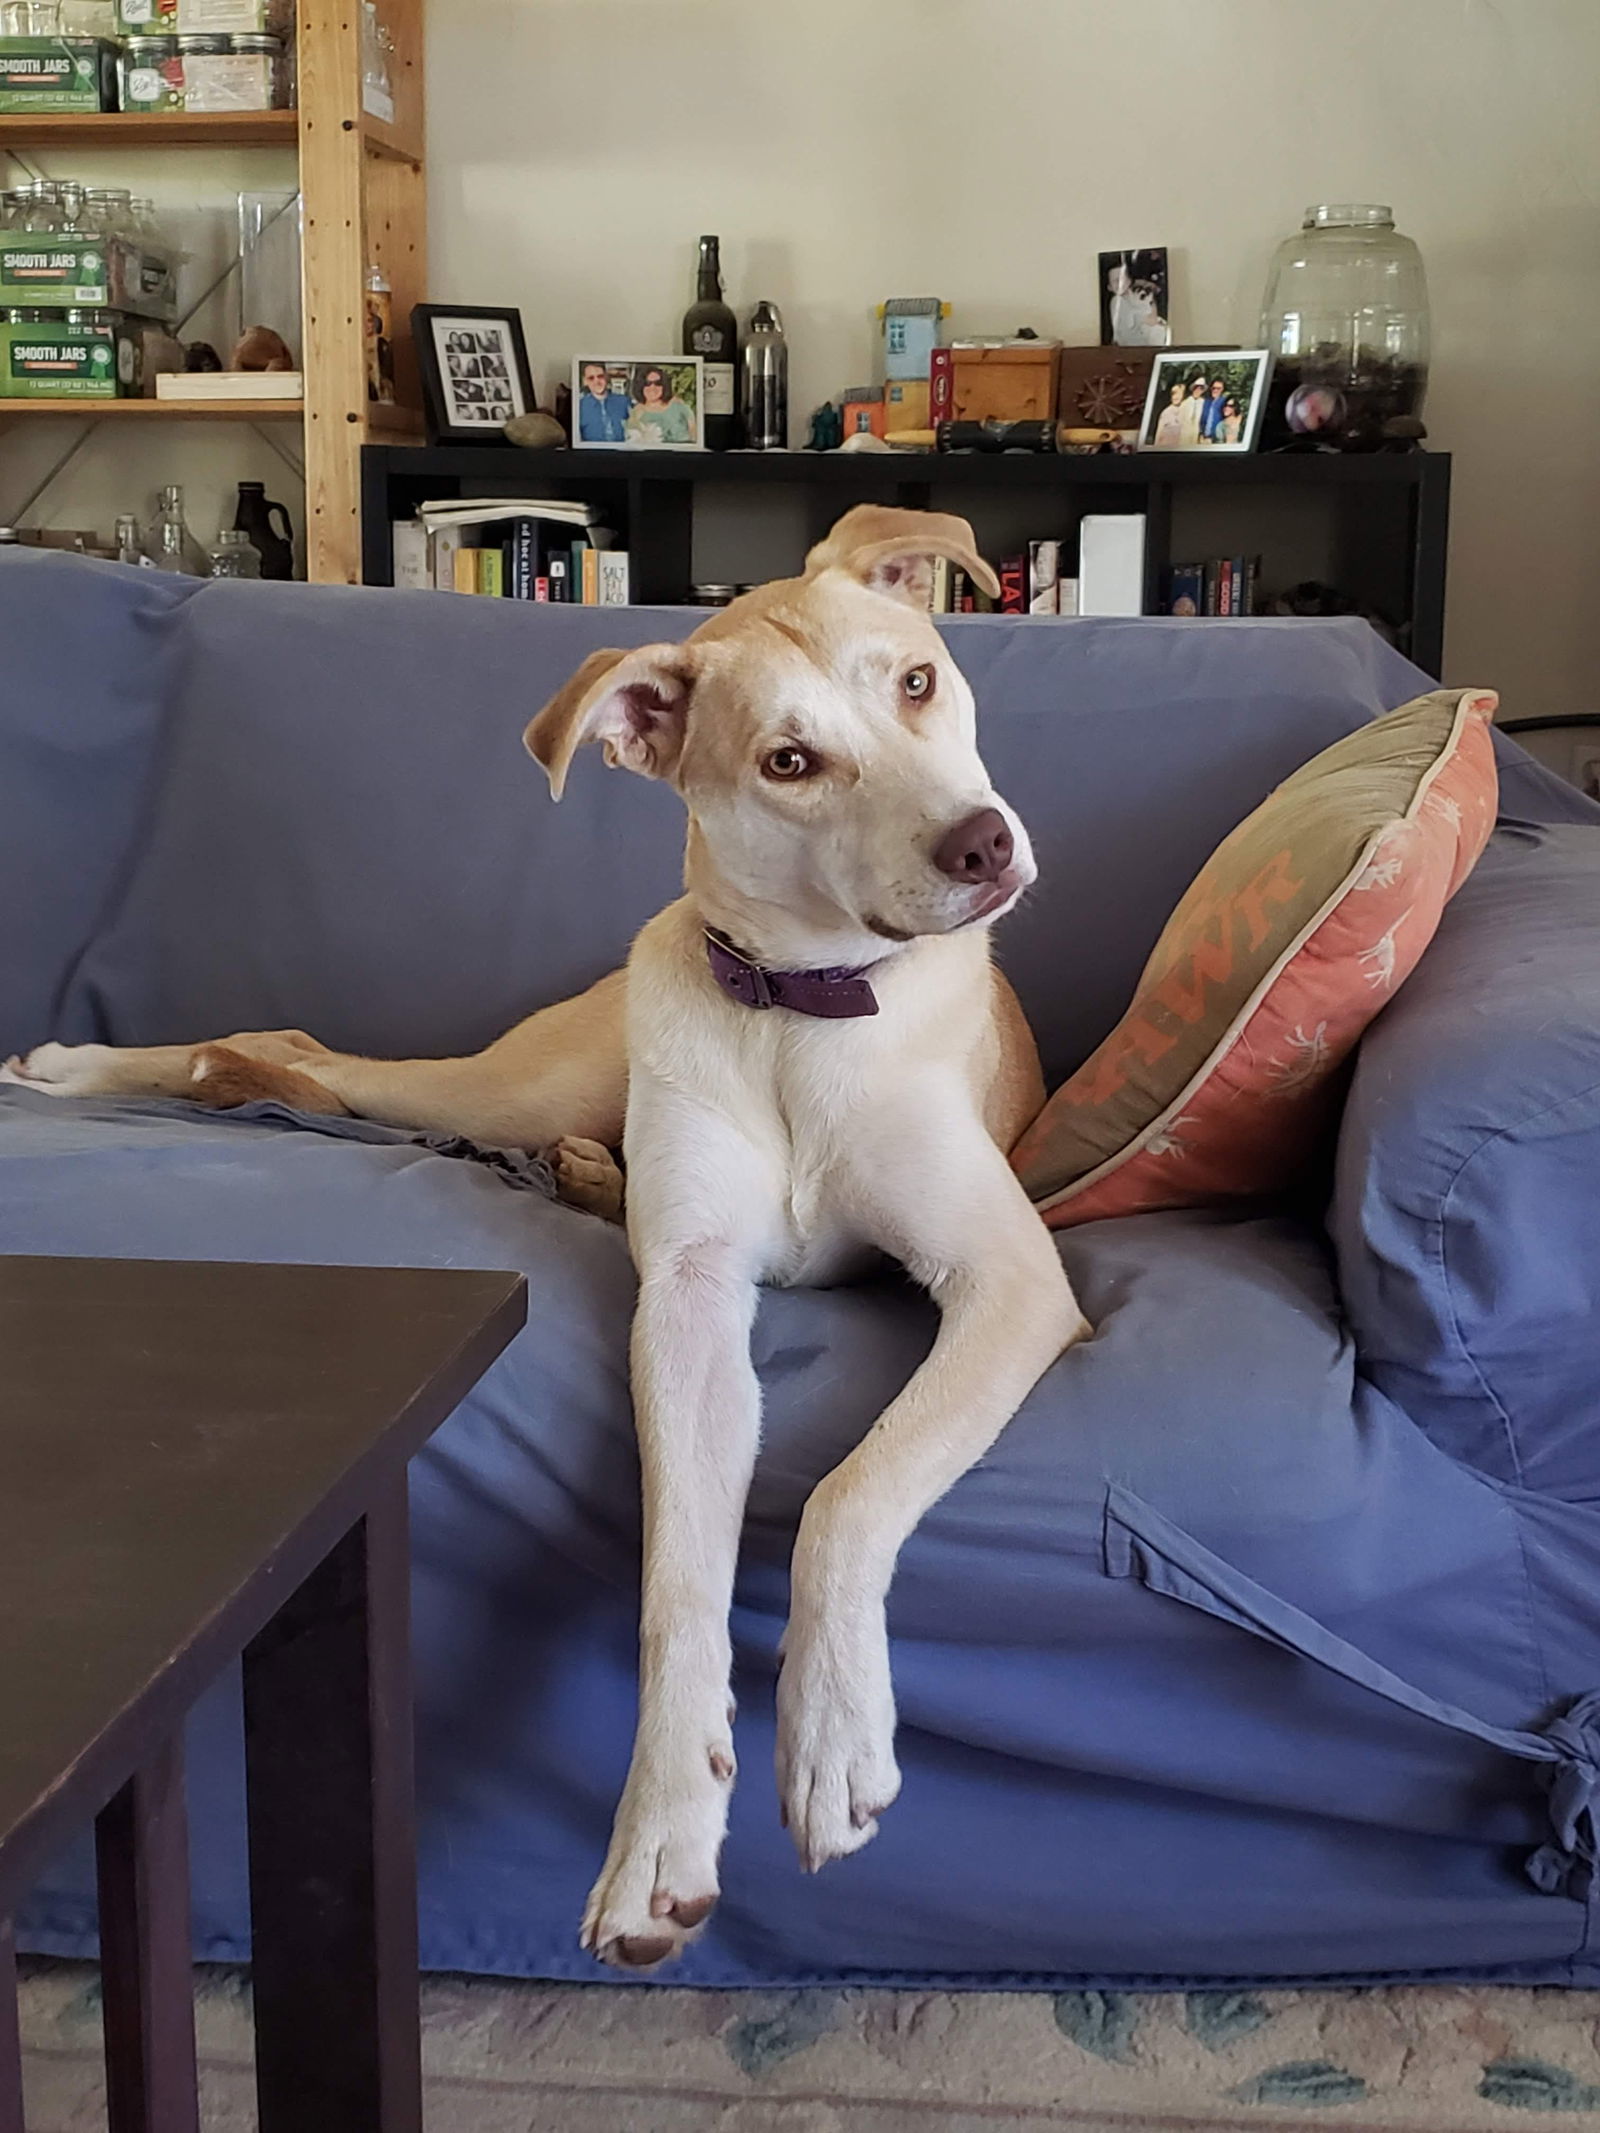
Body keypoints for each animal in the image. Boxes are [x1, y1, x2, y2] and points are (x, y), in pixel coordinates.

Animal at [3, 507, 1092, 1970]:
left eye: (918, 681)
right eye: (788, 762)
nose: (983, 847)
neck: (799, 1011)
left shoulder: (1010, 1279)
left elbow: (848, 1492)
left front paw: (828, 1734)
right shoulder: (687, 1301)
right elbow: (680, 1578)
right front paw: (664, 1833)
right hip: (507, 1084)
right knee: (309, 1054)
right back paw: (87, 1069)